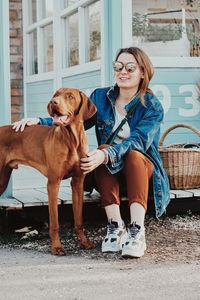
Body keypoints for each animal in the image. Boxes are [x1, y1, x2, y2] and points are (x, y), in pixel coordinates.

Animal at [0, 87, 97, 255]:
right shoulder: (53, 183)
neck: (72, 140)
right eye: (55, 95)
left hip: (3, 178)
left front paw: (84, 242)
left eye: (70, 96)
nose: (53, 102)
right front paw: (57, 247)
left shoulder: (78, 183)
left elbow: (79, 219)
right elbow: (54, 222)